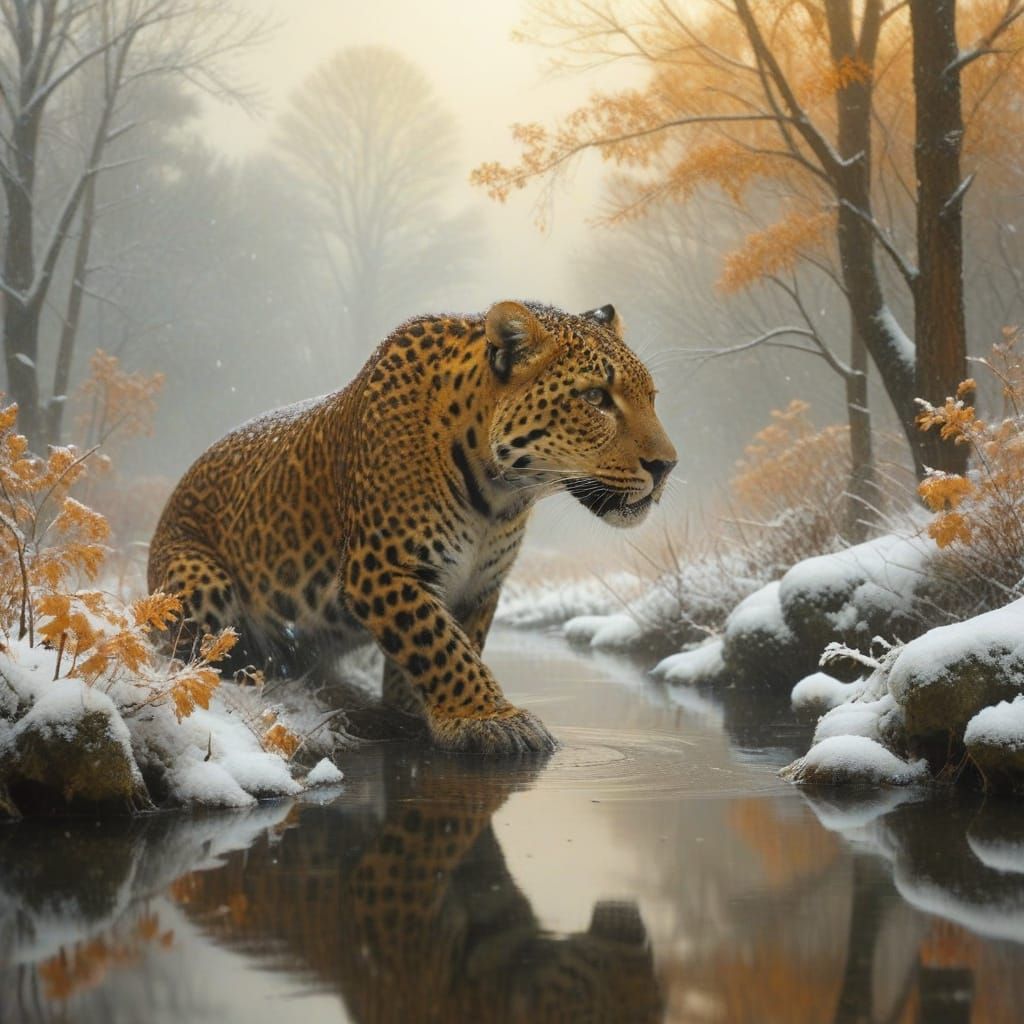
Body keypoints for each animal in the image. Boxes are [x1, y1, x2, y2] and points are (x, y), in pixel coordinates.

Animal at [148, 300, 677, 754]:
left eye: (652, 398)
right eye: (595, 398)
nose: (667, 465)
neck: (499, 495)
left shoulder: (479, 585)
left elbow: (452, 649)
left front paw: (425, 714)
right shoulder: (381, 568)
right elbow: (441, 646)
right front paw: (492, 719)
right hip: (200, 580)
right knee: (183, 654)